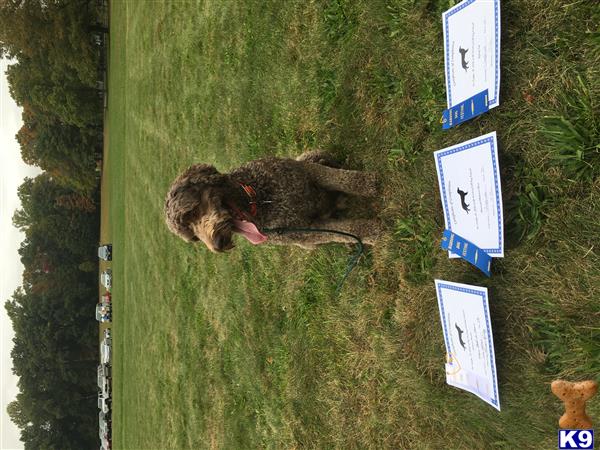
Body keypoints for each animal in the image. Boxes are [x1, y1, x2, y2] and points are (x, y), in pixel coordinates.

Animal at [164, 153, 380, 253]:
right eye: (194, 237)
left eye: (191, 212)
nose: (218, 244)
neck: (258, 200)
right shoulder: (306, 233)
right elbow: (347, 231)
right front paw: (375, 232)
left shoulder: (307, 171)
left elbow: (339, 178)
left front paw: (370, 184)